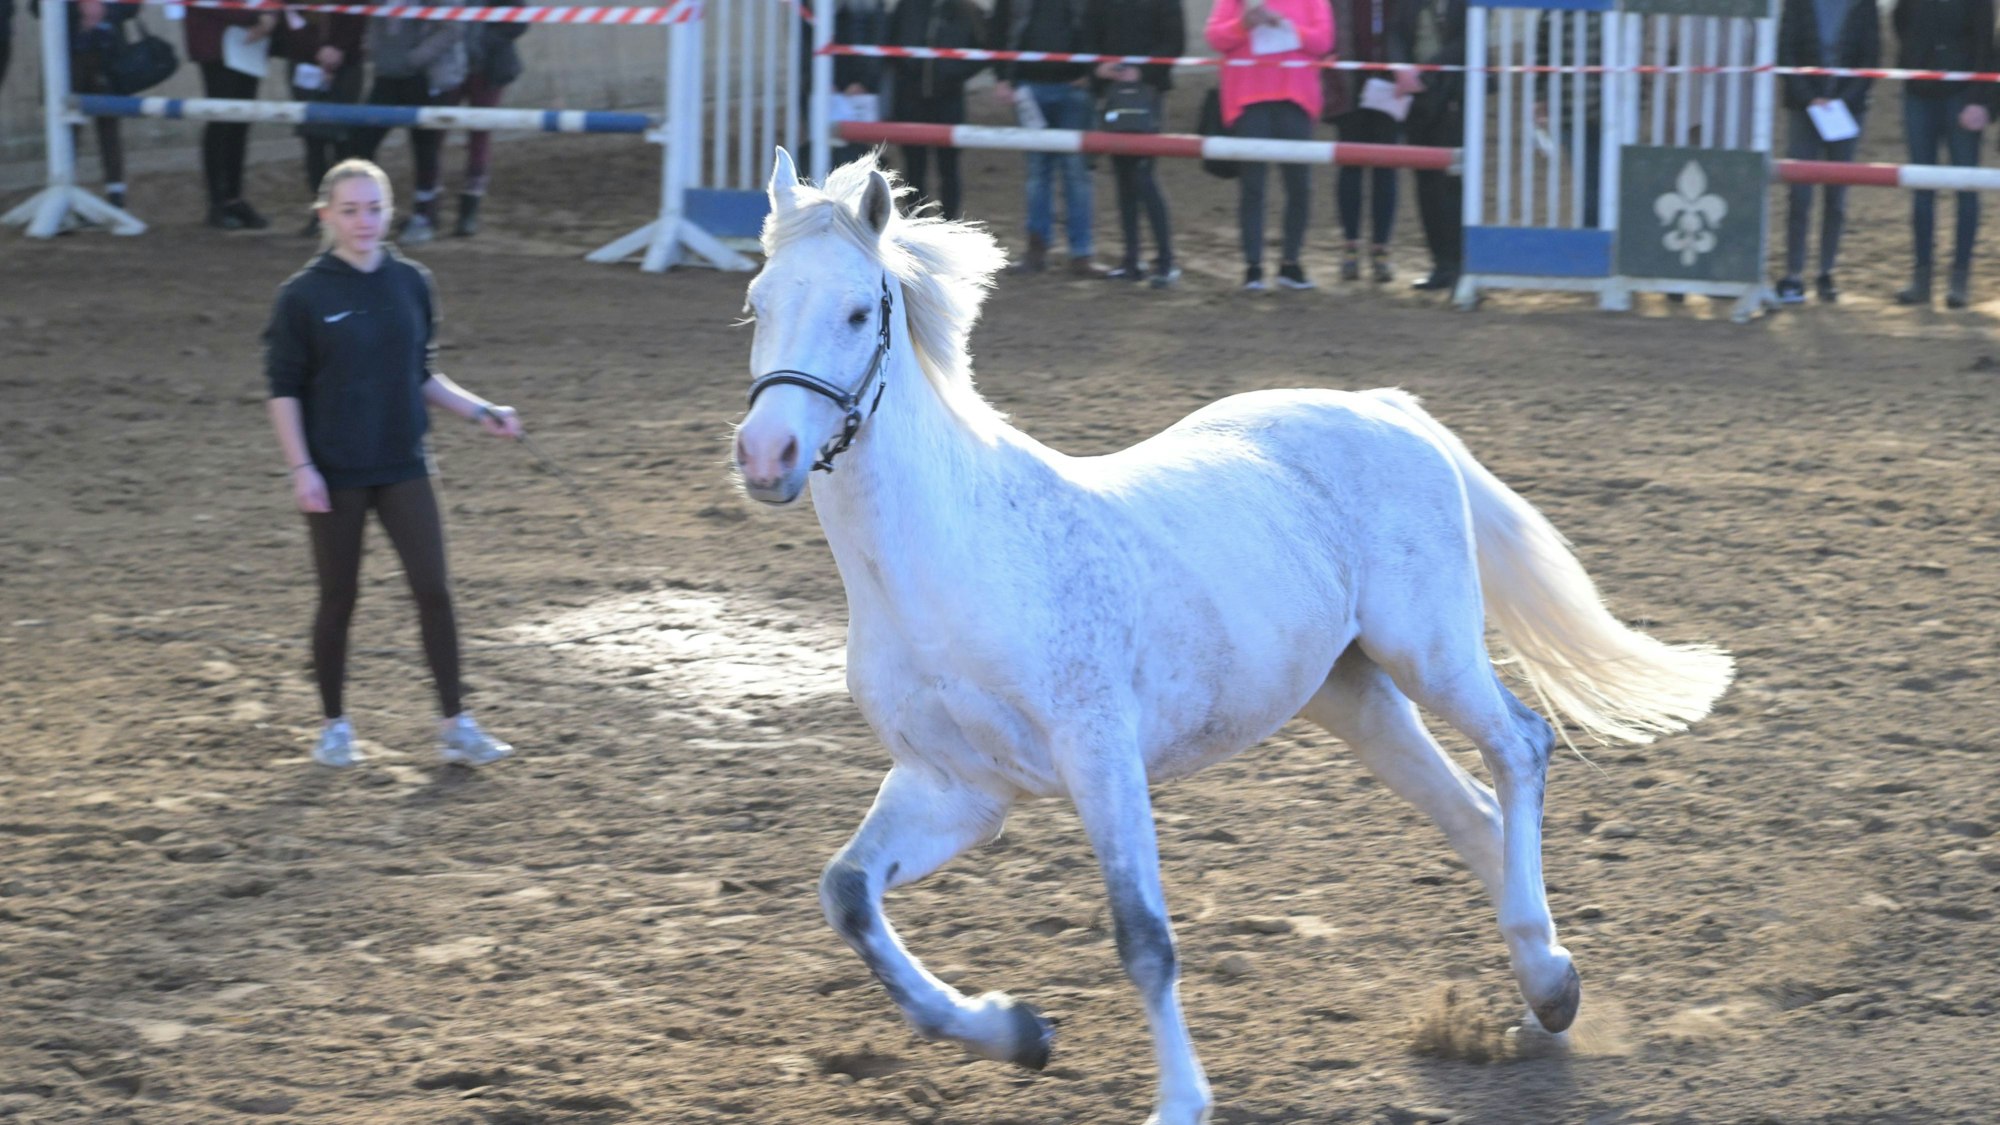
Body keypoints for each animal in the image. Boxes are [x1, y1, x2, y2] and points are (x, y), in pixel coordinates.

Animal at [730, 149, 1733, 1125]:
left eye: (859, 311)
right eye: (758, 302)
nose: (765, 454)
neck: (946, 561)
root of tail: (1385, 407)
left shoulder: (1101, 756)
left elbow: (1143, 936)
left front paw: (1178, 1101)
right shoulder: (955, 786)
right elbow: (848, 893)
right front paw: (1019, 1032)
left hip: (1429, 651)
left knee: (1519, 746)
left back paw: (1551, 981)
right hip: (1351, 694)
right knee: (1470, 810)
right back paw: (1542, 987)